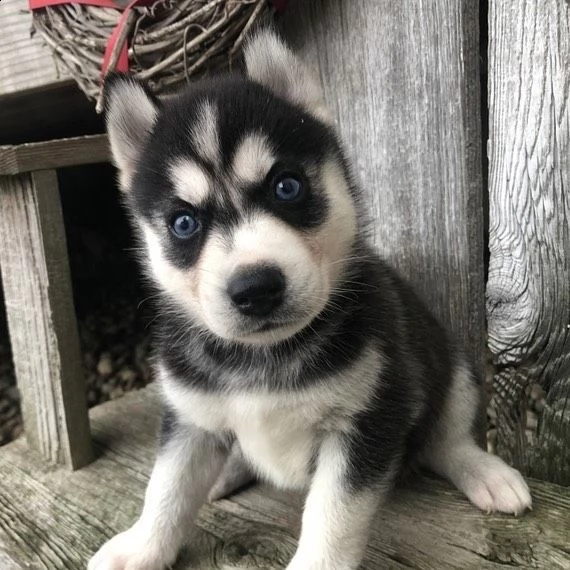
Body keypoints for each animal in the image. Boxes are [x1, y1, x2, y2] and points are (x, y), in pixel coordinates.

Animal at [89, 30, 528, 568]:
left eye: (287, 186)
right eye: (184, 223)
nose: (255, 289)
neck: (264, 356)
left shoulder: (368, 417)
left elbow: (333, 515)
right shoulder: (190, 418)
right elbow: (166, 488)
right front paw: (141, 547)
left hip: (450, 366)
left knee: (445, 440)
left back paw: (485, 471)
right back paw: (228, 471)